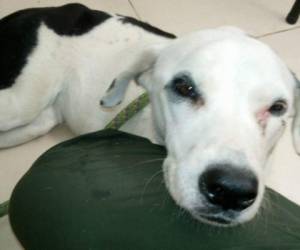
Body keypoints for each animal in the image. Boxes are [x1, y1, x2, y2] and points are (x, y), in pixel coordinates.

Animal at [0, 3, 300, 227]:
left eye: (278, 107)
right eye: (184, 87)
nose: (231, 190)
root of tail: (37, 11)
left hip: (39, 118)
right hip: (20, 102)